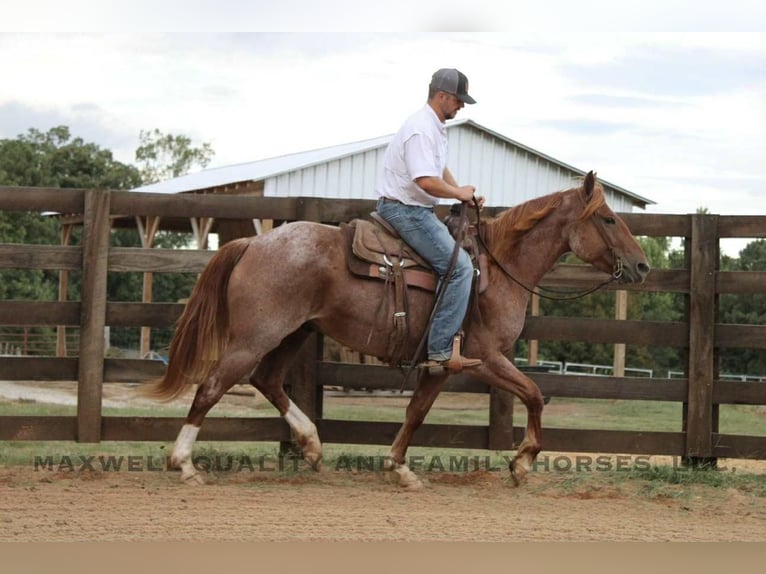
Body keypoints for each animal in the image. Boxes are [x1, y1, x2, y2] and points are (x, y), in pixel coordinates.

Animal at [148, 171, 650, 488]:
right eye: (609, 219)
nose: (643, 265)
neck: (498, 269)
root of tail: (254, 241)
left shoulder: (441, 365)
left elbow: (416, 412)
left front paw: (398, 467)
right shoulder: (485, 358)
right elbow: (534, 394)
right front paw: (522, 462)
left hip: (295, 333)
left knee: (267, 381)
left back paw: (311, 446)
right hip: (256, 336)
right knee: (212, 386)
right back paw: (184, 464)